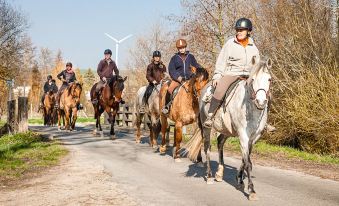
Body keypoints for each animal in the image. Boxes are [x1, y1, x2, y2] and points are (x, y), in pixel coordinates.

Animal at [186, 57, 274, 200]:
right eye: (253, 79)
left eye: (269, 79)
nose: (260, 102)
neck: (250, 107)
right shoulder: (243, 135)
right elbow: (247, 162)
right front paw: (251, 190)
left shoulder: (254, 138)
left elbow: (245, 159)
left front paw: (240, 179)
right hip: (206, 127)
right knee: (207, 147)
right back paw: (209, 176)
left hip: (226, 130)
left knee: (220, 142)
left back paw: (219, 174)